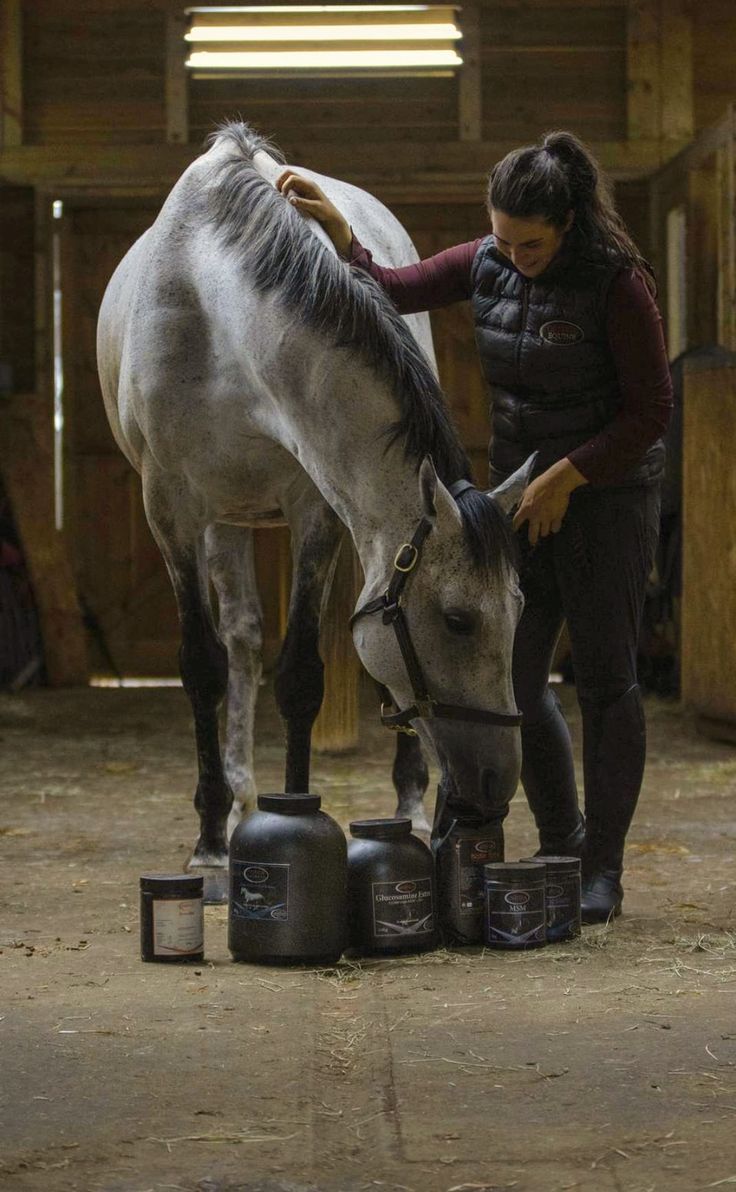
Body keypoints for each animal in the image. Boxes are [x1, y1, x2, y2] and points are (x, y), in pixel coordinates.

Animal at [97, 121, 531, 874]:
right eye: (457, 621)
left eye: (521, 609)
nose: (498, 781)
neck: (215, 312)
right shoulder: (171, 509)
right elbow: (204, 666)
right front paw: (211, 840)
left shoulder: (316, 510)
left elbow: (301, 674)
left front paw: (296, 810)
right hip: (224, 518)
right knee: (240, 640)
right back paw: (237, 797)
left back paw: (409, 798)